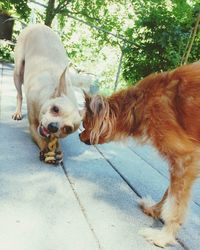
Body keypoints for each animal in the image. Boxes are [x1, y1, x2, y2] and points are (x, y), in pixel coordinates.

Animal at [12, 23, 81, 164]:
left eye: (68, 129)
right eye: (55, 109)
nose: (53, 127)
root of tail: (38, 24)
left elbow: (55, 140)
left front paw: (58, 150)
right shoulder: (33, 125)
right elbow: (40, 138)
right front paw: (45, 147)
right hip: (18, 71)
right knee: (19, 94)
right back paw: (17, 112)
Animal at [79, 62, 200, 246]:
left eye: (85, 124)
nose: (79, 135)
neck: (141, 103)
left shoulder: (184, 158)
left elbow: (175, 206)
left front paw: (163, 236)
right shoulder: (183, 164)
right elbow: (168, 193)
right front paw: (154, 210)